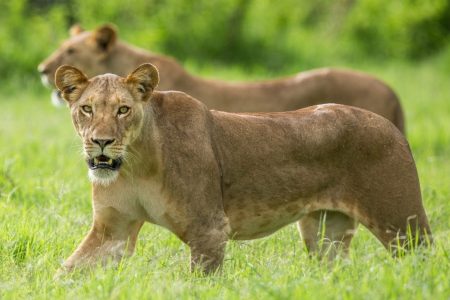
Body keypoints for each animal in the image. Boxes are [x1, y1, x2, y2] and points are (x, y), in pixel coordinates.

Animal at [54, 63, 430, 274]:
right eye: (87, 109)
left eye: (123, 110)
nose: (101, 142)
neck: (135, 163)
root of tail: (389, 123)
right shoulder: (112, 231)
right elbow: (67, 273)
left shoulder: (209, 229)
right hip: (325, 232)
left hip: (400, 223)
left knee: (423, 260)